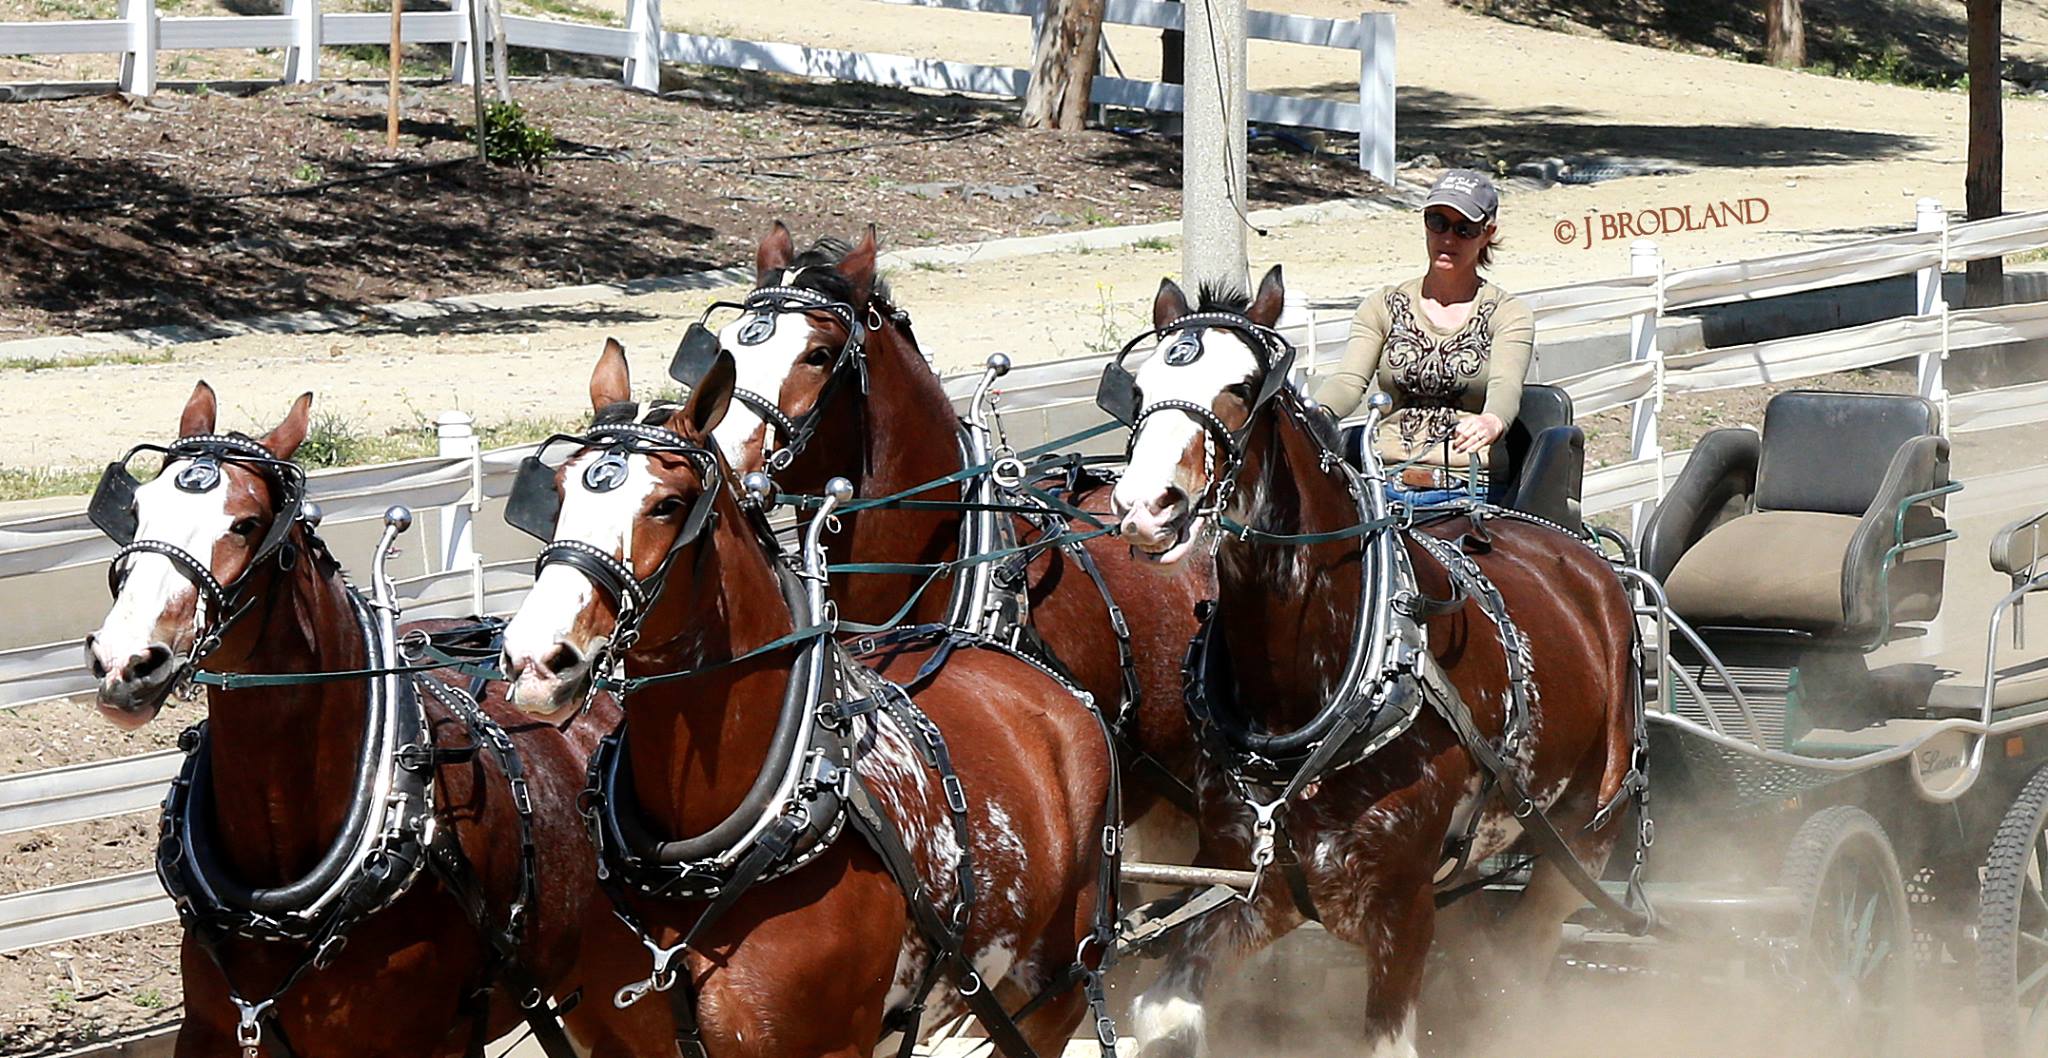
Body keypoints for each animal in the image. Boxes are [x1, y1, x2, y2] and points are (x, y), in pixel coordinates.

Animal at [1114, 268, 1638, 1055]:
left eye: (1243, 387)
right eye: (1140, 390)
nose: (1148, 508)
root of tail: (1582, 558)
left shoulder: (1402, 904)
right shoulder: (1249, 884)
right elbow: (1164, 1017)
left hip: (1589, 831)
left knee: (1527, 953)